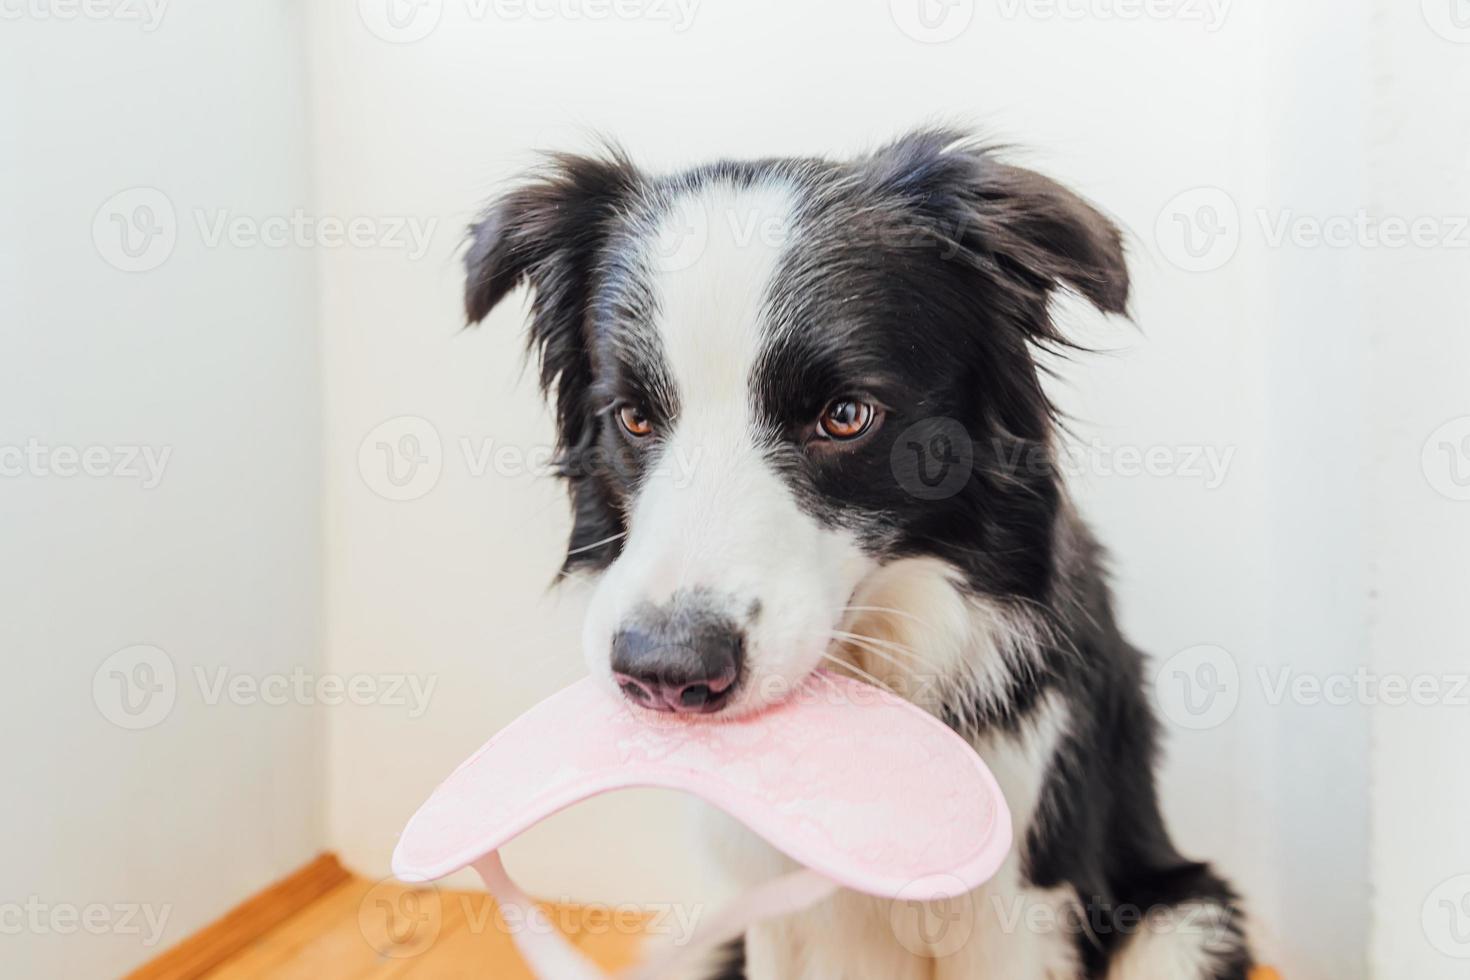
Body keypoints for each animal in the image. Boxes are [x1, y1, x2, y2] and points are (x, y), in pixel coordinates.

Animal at [461, 130, 1252, 980]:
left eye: (846, 416)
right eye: (633, 417)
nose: (665, 675)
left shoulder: (1016, 894)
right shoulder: (766, 899)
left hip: (1184, 923)